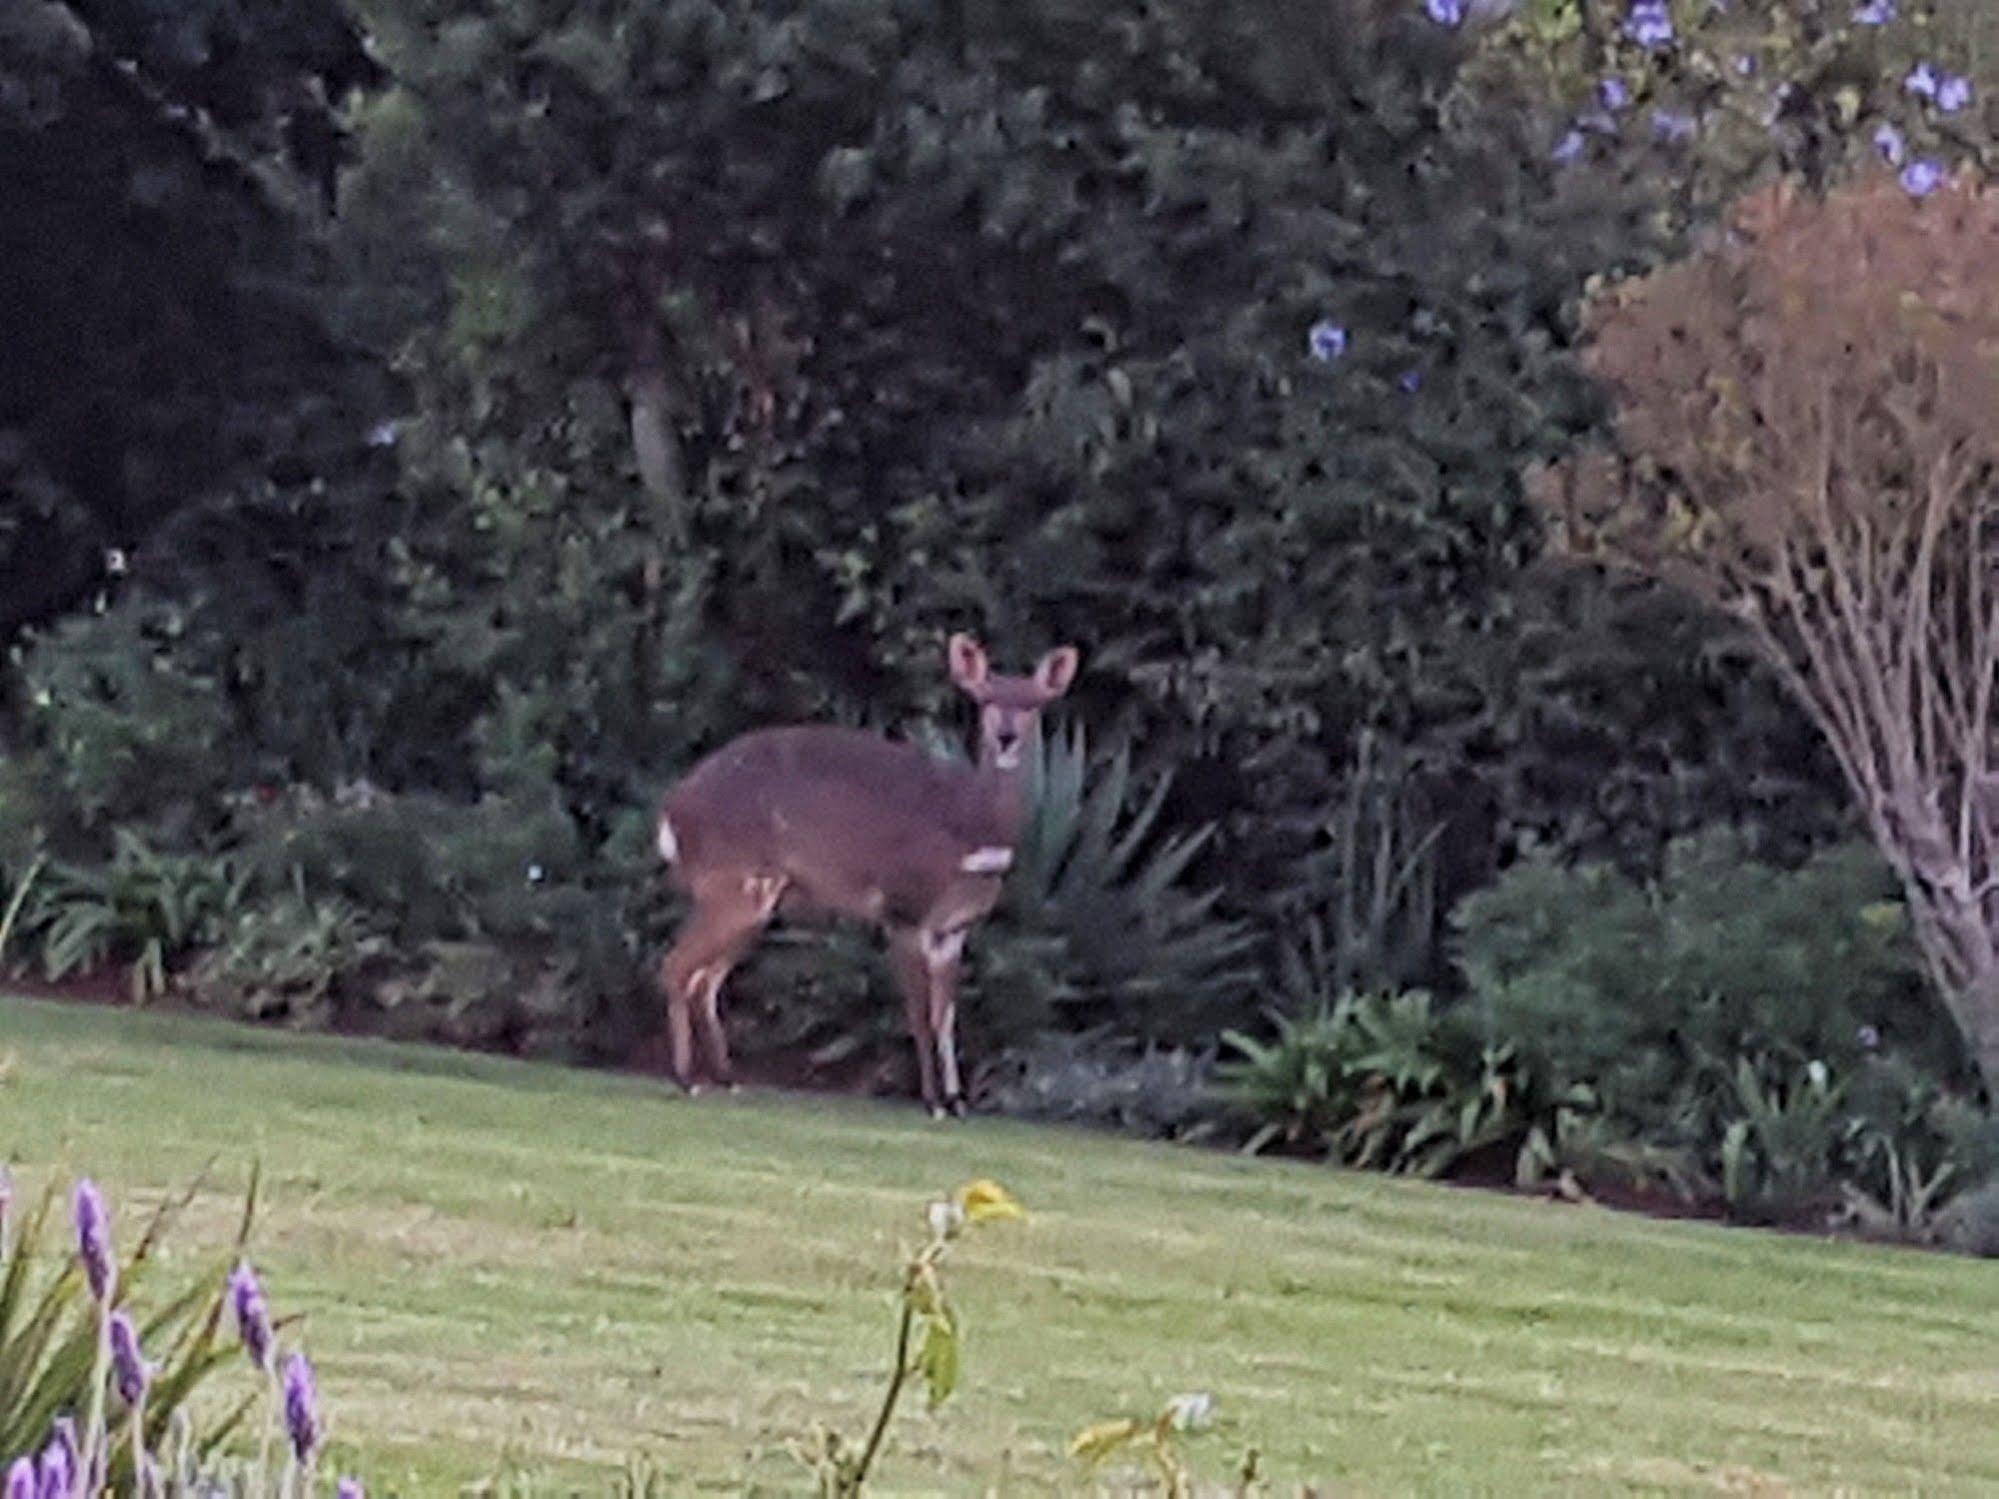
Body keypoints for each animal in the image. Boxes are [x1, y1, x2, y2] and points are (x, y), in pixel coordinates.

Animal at [655, 631, 1079, 1119]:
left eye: (1033, 703)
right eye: (986, 698)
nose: (1007, 736)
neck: (970, 827)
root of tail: (673, 810)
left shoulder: (955, 929)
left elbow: (946, 1014)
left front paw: (957, 1101)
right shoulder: (904, 911)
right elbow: (919, 1012)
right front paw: (934, 1102)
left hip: (758, 903)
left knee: (705, 979)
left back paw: (728, 1080)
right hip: (734, 886)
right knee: (676, 966)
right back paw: (687, 1079)